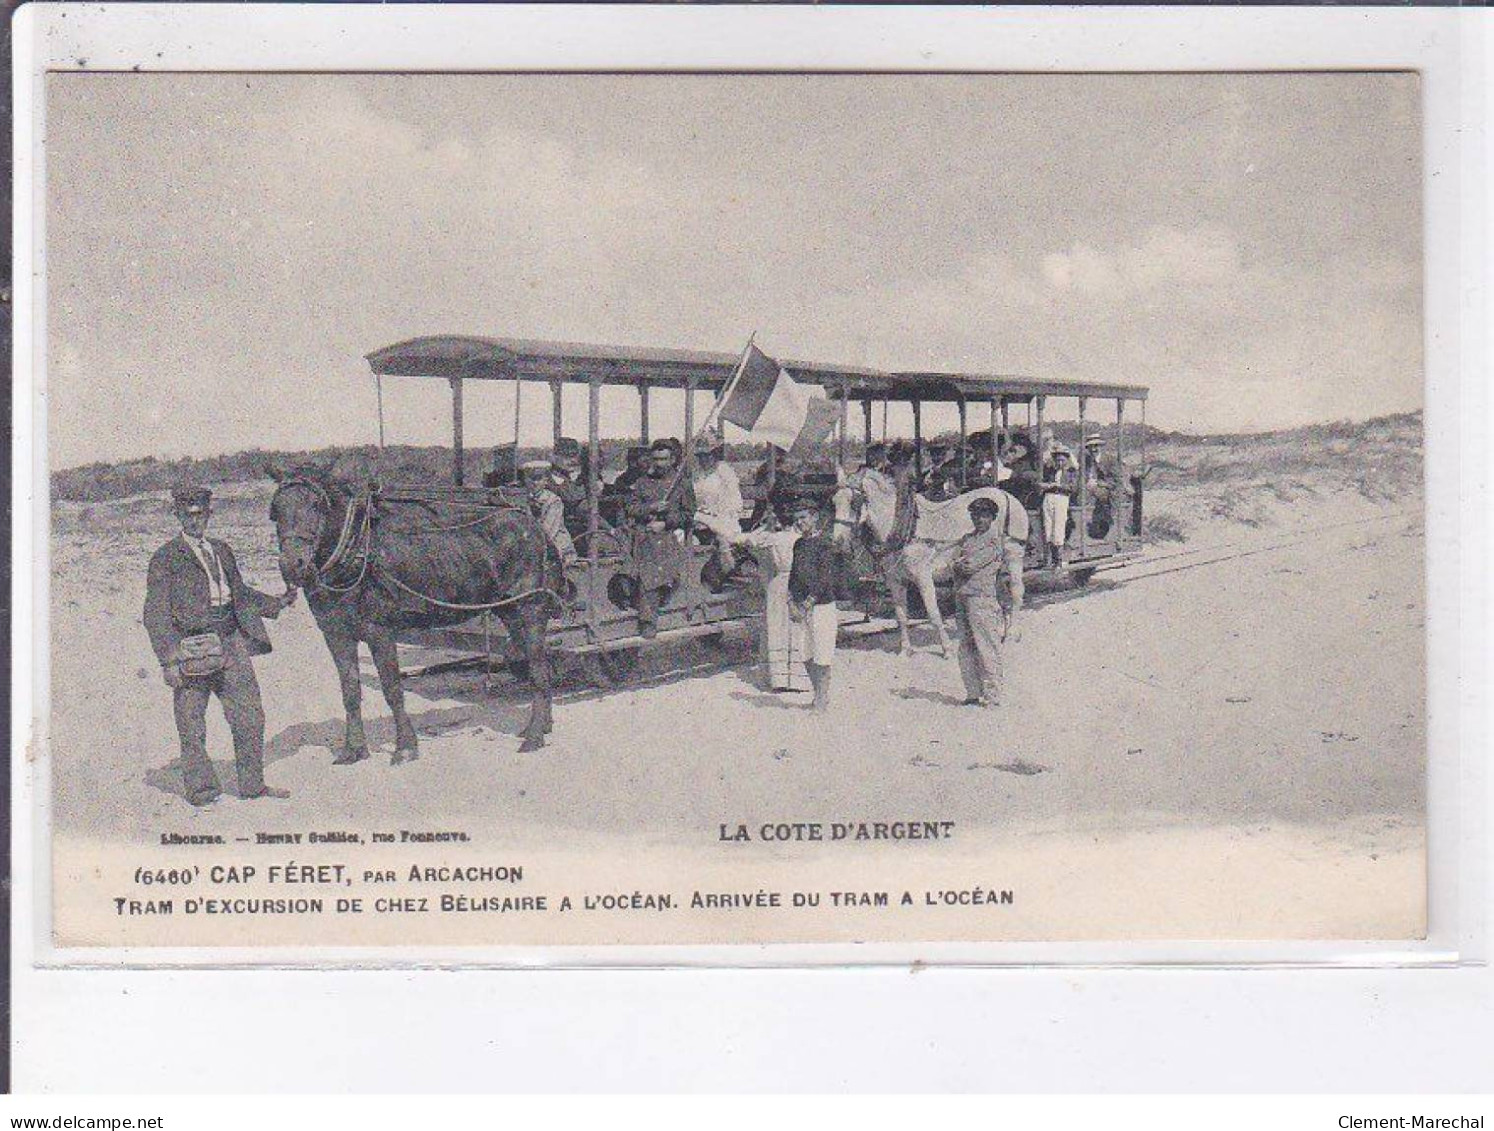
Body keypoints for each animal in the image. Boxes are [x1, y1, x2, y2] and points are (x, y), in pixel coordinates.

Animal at [265, 460, 561, 758]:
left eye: (317, 505)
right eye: (276, 509)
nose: (292, 565)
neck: (356, 549)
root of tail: (533, 524)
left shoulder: (380, 631)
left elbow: (392, 688)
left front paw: (405, 746)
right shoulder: (336, 636)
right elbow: (349, 692)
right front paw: (354, 750)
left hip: (531, 608)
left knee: (538, 668)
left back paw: (534, 736)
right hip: (508, 611)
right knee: (537, 664)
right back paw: (544, 725)